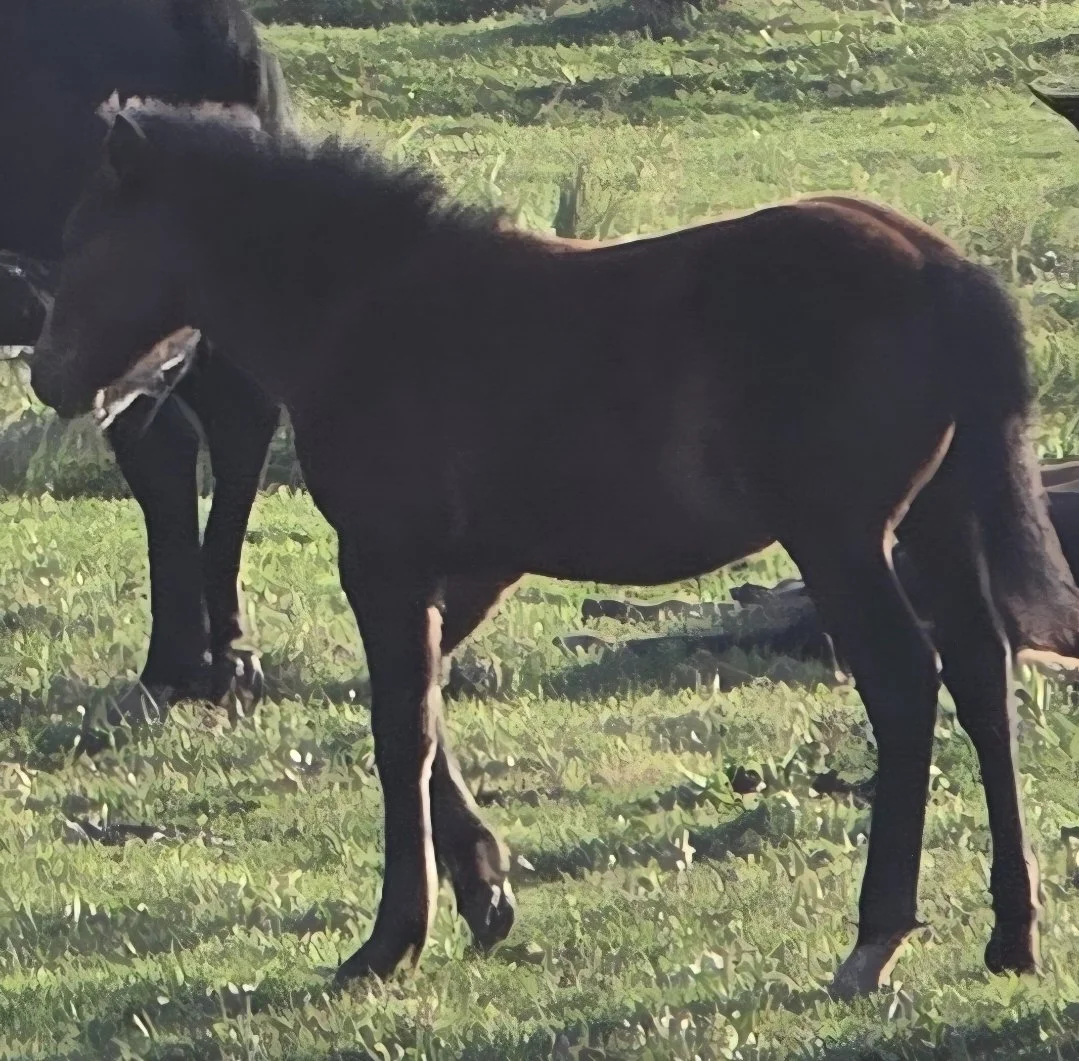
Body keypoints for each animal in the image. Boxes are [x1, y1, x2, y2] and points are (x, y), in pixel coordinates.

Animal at [33, 100, 1079, 998]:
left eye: (82, 240)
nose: (48, 378)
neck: (362, 309)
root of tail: (945, 269)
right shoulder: (468, 566)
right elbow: (423, 702)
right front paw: (484, 891)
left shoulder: (383, 555)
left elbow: (399, 728)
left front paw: (391, 939)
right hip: (937, 519)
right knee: (984, 678)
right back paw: (1011, 934)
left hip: (840, 538)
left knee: (906, 683)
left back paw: (874, 939)